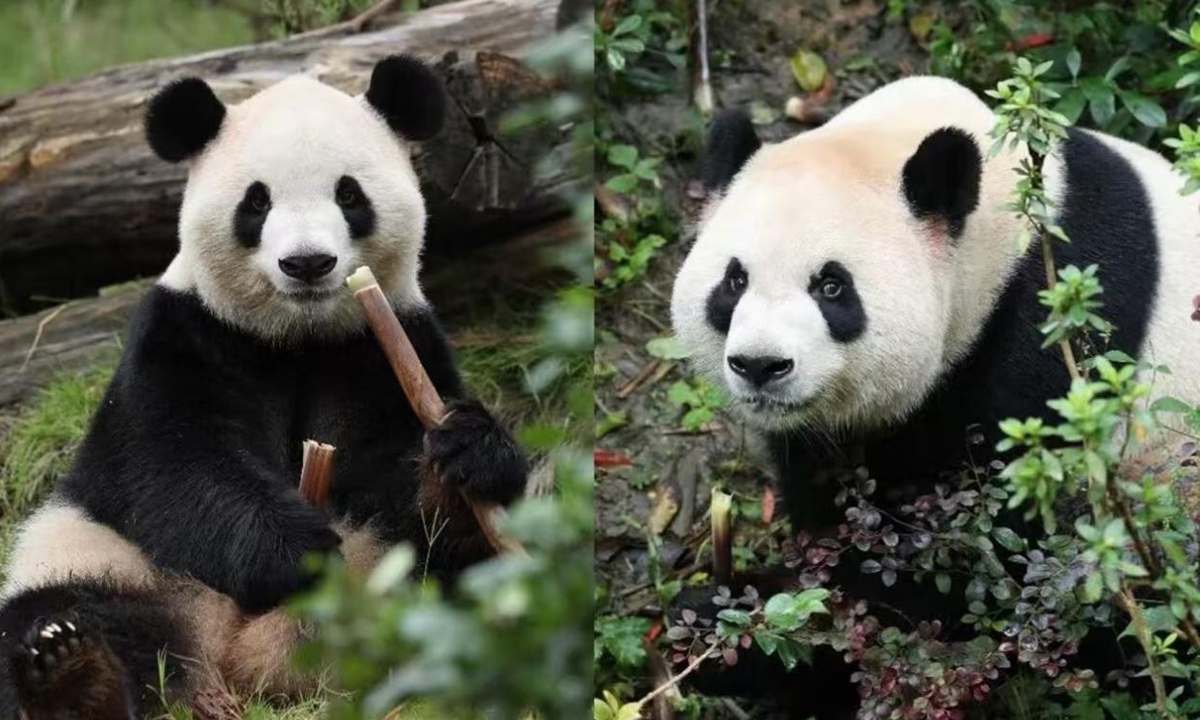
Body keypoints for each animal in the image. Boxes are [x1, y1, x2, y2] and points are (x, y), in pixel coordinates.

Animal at [0, 55, 529, 720]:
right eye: (256, 202)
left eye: (348, 194)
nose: (307, 264)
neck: (297, 337)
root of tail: (235, 662)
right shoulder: (184, 334)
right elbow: (172, 462)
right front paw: (291, 548)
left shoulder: (385, 345)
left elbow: (395, 477)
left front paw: (465, 455)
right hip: (103, 553)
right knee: (66, 608)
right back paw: (72, 672)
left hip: (388, 581)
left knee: (462, 581)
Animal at [670, 76, 1200, 717]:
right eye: (734, 281)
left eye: (832, 287)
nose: (760, 366)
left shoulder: (1050, 344)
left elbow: (967, 575)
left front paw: (747, 633)